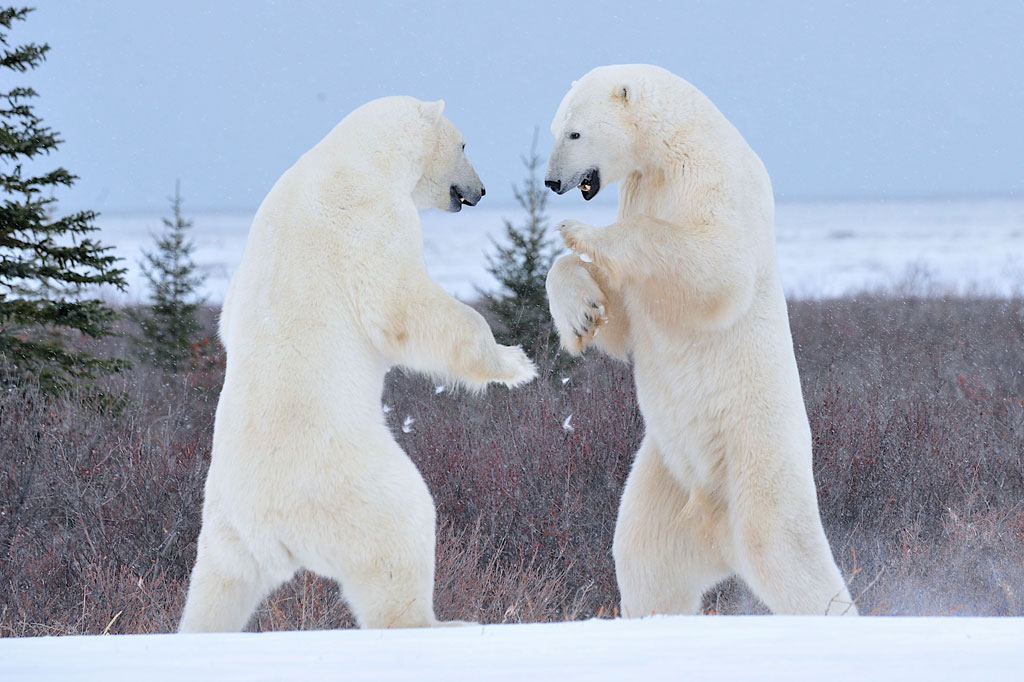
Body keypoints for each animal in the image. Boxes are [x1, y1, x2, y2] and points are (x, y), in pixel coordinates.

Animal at [180, 95, 540, 630]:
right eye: (464, 144)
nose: (479, 190)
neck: (359, 156)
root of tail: (275, 530)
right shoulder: (368, 214)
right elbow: (401, 302)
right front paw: (516, 363)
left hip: (225, 527)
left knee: (217, 586)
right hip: (353, 485)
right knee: (403, 529)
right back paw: (442, 621)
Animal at [544, 65, 856, 614]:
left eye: (575, 133)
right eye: (555, 130)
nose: (552, 181)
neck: (672, 141)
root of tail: (716, 528)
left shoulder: (711, 176)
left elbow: (714, 264)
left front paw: (580, 230)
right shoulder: (642, 185)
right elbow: (621, 313)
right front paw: (581, 313)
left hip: (756, 458)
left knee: (783, 549)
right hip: (666, 473)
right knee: (644, 557)